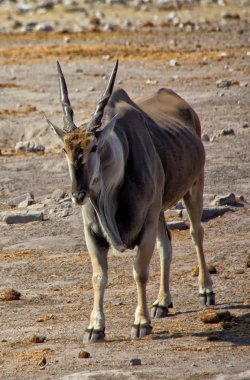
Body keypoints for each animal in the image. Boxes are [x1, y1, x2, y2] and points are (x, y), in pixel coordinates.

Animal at [46, 60, 215, 342]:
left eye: (94, 147)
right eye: (65, 149)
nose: (78, 195)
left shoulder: (145, 227)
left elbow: (140, 272)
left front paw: (141, 322)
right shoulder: (93, 234)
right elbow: (98, 276)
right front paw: (95, 327)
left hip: (194, 187)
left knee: (196, 233)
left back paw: (206, 291)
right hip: (160, 210)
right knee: (166, 244)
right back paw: (162, 302)